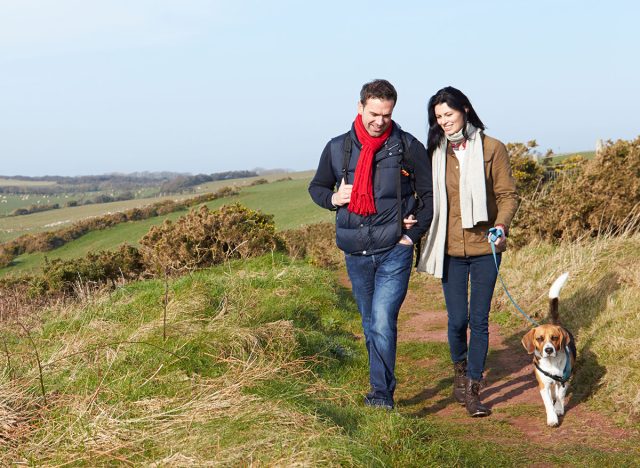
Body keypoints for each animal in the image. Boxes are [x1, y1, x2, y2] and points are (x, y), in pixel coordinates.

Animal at [524, 272, 576, 430]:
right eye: (540, 338)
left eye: (554, 338)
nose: (548, 350)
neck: (552, 362)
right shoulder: (543, 385)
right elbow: (548, 402)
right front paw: (552, 418)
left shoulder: (564, 380)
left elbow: (560, 395)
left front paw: (558, 408)